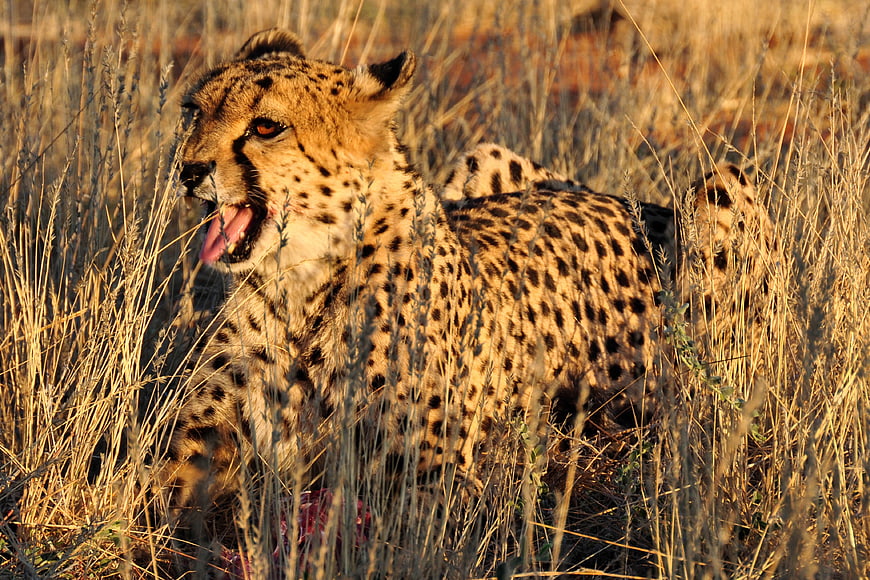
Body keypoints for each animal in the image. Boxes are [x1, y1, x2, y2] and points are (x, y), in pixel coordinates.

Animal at [164, 28, 776, 521]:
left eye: (267, 126)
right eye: (195, 111)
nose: (188, 170)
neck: (303, 282)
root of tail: (638, 203)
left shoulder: (432, 476)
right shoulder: (200, 441)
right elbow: (161, 490)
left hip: (722, 189)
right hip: (485, 155)